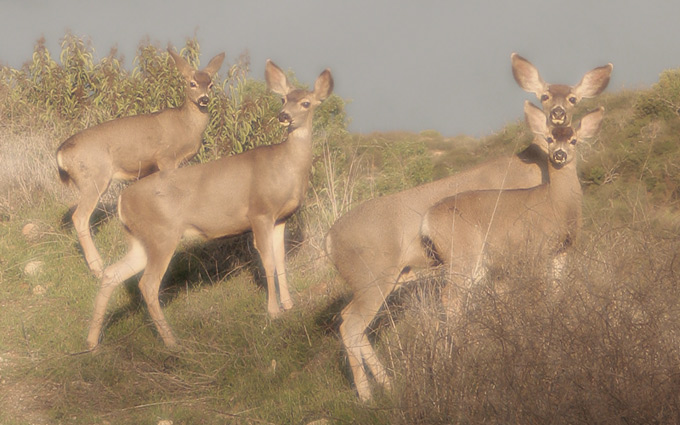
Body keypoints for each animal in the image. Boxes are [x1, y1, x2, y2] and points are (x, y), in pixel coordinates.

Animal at [56, 48, 225, 278]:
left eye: (211, 84)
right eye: (192, 83)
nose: (204, 99)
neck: (186, 126)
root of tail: (60, 154)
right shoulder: (166, 157)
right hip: (95, 176)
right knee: (80, 216)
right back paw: (98, 267)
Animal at [86, 60, 333, 350]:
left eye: (305, 102)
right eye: (283, 99)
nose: (284, 115)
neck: (287, 167)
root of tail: (123, 200)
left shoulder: (281, 218)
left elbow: (281, 261)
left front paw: (289, 305)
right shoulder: (259, 212)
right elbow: (268, 262)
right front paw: (273, 312)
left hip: (140, 239)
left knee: (112, 273)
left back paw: (92, 341)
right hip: (162, 234)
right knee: (147, 284)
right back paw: (171, 341)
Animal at [421, 101, 604, 315]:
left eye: (573, 140)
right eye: (549, 138)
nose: (560, 154)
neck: (557, 203)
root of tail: (427, 221)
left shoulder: (562, 250)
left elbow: (557, 287)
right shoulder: (538, 247)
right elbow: (540, 287)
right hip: (462, 251)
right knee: (451, 295)